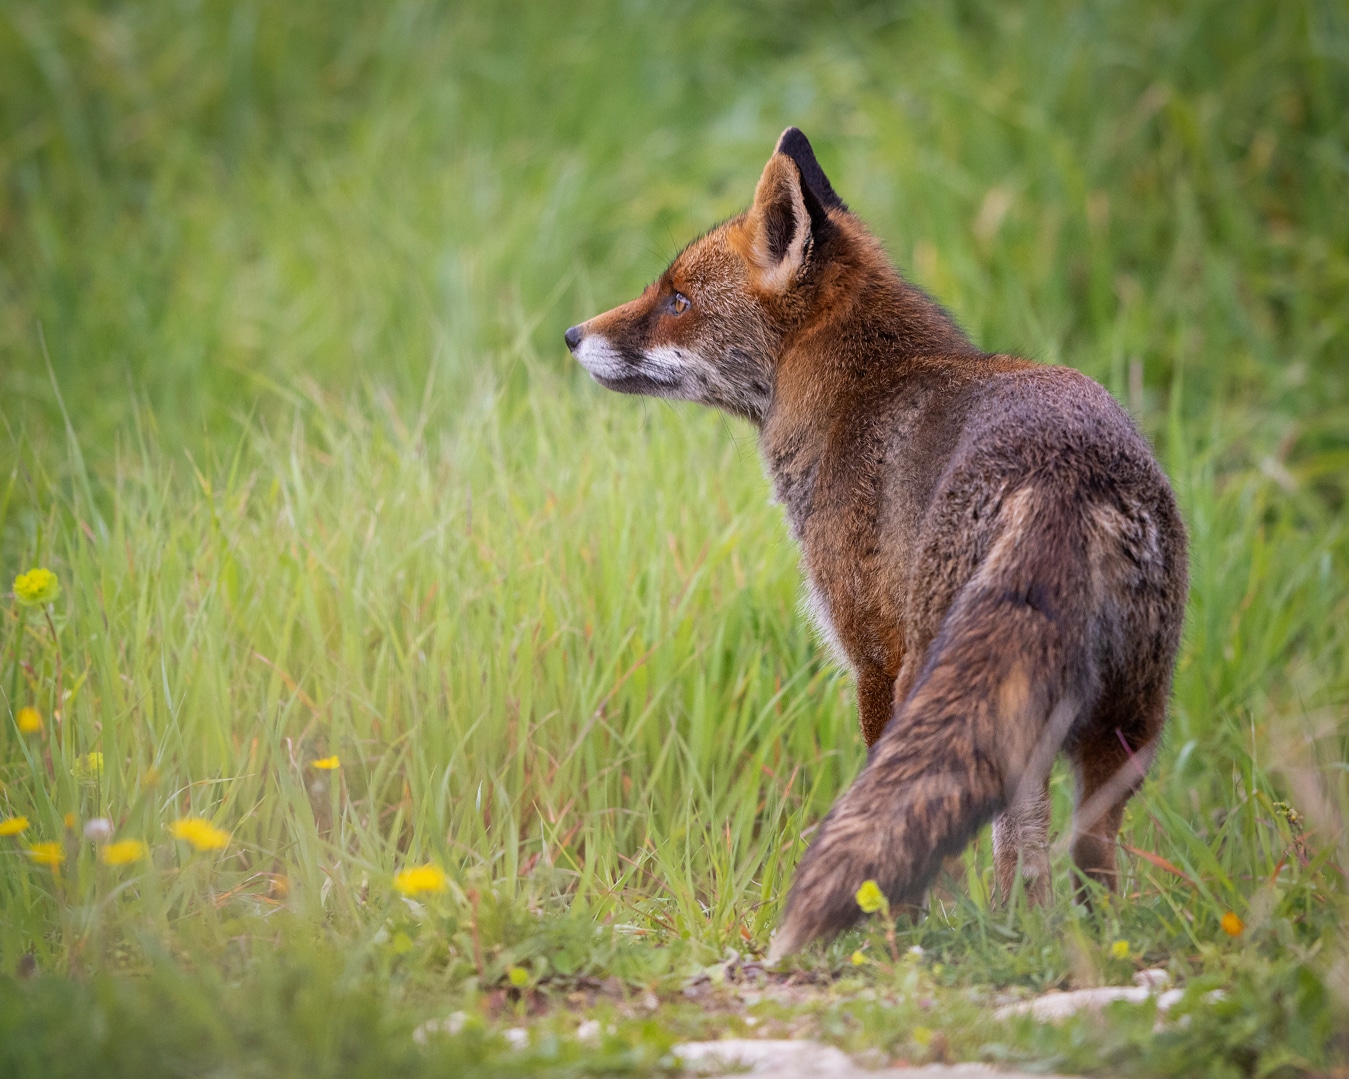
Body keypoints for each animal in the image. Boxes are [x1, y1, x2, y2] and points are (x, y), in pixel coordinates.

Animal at [564, 128, 1187, 960]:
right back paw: (1056, 938)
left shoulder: (871, 656)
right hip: (1123, 722)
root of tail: (1064, 470)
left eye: (676, 301)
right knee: (1071, 851)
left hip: (944, 671)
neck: (855, 393)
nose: (571, 335)